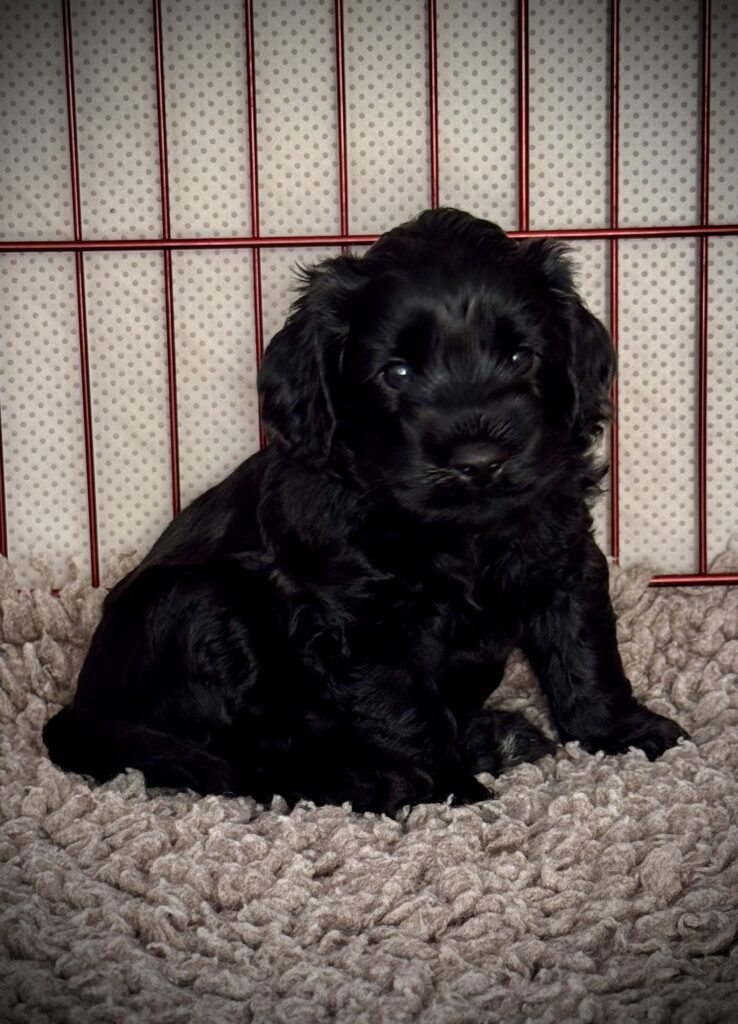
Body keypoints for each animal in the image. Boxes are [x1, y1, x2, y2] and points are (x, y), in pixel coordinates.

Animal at [44, 208, 688, 815]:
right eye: (396, 373)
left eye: (519, 356)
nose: (478, 462)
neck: (457, 535)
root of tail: (85, 709)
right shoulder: (361, 618)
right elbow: (404, 709)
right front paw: (449, 790)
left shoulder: (561, 555)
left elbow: (584, 651)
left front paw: (622, 732)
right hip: (200, 605)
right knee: (246, 761)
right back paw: (380, 780)